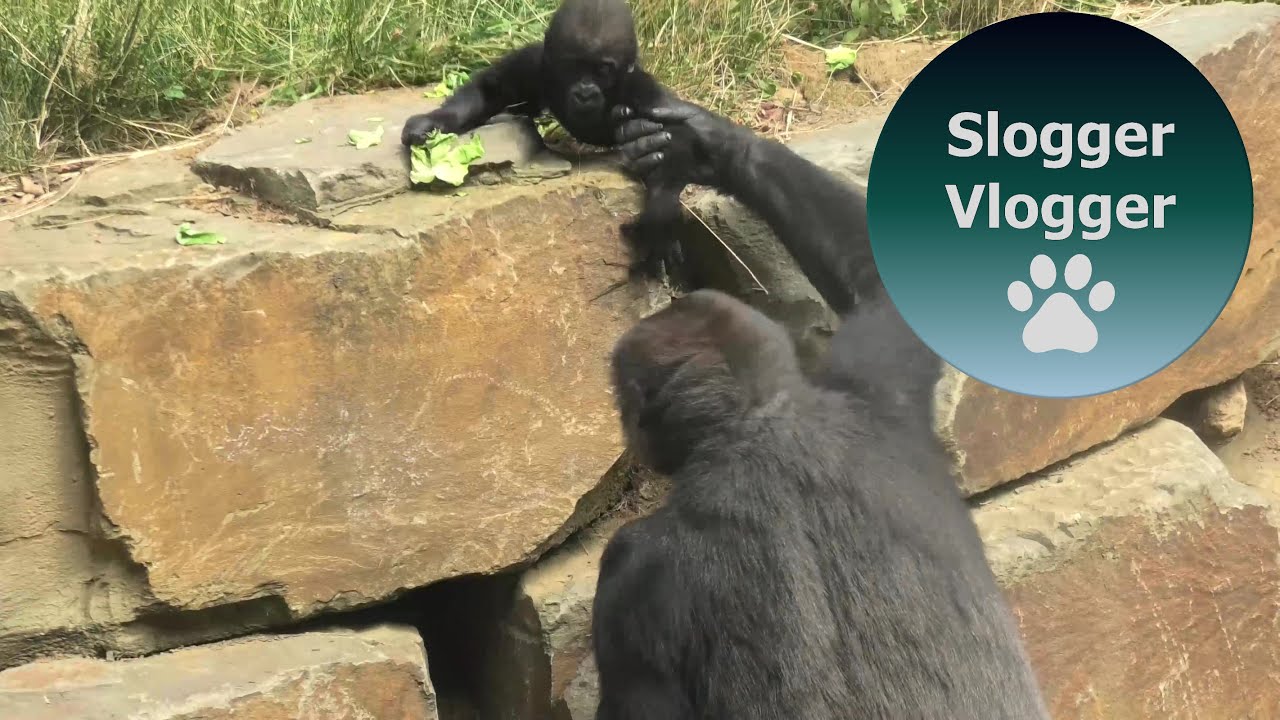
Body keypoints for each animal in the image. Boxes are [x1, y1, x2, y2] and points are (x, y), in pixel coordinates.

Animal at [401, 0, 701, 283]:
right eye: (573, 66)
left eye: (603, 70)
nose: (585, 92)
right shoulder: (535, 64)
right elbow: (489, 89)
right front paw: (434, 121)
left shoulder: (642, 90)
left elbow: (666, 139)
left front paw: (661, 213)